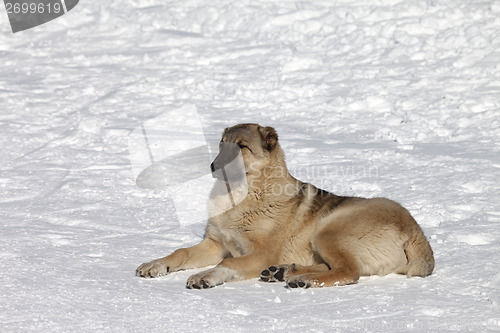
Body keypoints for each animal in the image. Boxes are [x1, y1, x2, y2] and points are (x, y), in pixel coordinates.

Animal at [136, 123, 434, 286]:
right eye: (221, 145)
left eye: (241, 147)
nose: (213, 166)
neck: (241, 197)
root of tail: (416, 232)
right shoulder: (215, 244)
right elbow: (180, 252)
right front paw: (155, 264)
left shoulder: (259, 254)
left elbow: (226, 264)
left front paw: (205, 277)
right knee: (337, 267)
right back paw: (284, 272)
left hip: (327, 229)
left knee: (349, 272)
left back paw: (302, 279)